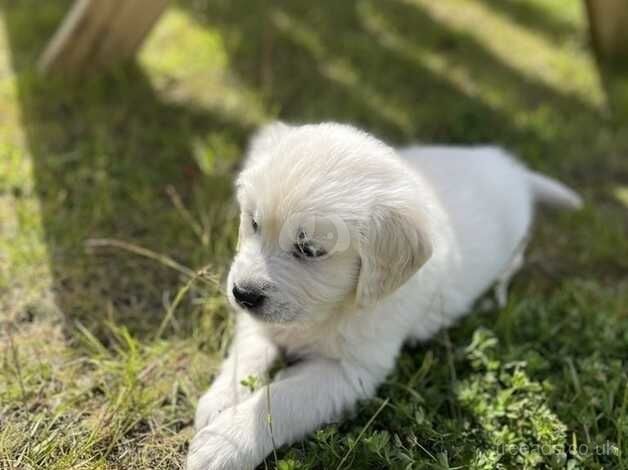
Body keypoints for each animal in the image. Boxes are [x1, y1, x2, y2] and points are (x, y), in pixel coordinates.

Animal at [188, 122, 584, 470]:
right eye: (253, 223)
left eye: (310, 249)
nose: (242, 294)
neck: (332, 310)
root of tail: (511, 169)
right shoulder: (261, 325)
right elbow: (248, 354)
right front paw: (221, 402)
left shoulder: (353, 371)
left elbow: (285, 399)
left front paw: (225, 445)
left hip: (515, 246)